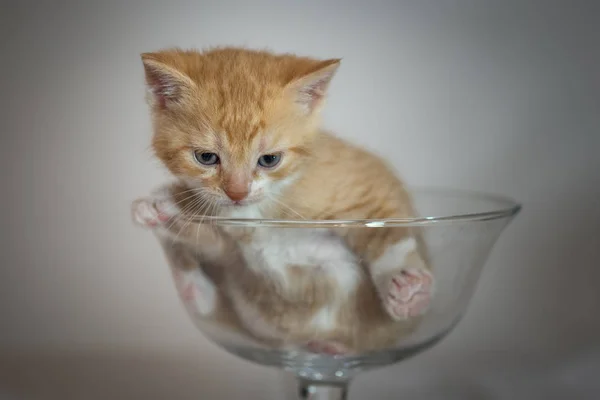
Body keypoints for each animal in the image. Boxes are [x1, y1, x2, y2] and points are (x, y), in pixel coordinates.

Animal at [131, 47, 434, 354]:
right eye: (206, 157)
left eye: (269, 160)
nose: (237, 193)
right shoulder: (228, 229)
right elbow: (213, 226)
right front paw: (168, 203)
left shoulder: (363, 179)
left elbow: (388, 224)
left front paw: (407, 286)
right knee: (207, 297)